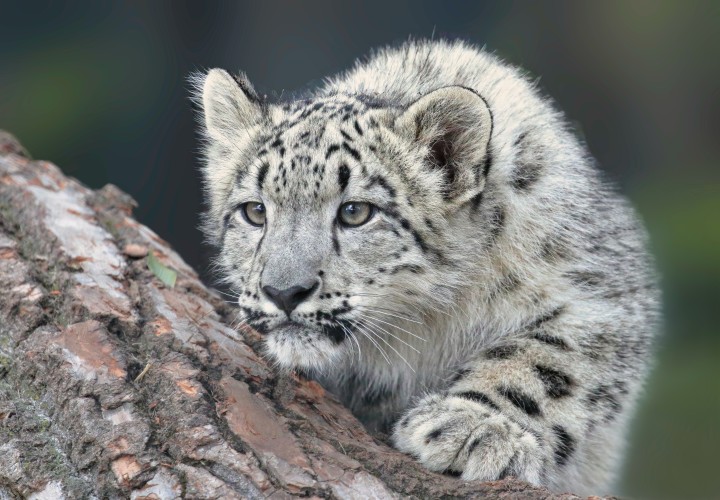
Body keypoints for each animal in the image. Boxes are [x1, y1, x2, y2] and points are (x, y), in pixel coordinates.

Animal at [192, 39, 659, 495]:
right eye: (255, 211)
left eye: (356, 212)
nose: (284, 292)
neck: (424, 324)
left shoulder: (600, 292)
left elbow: (545, 359)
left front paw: (474, 428)